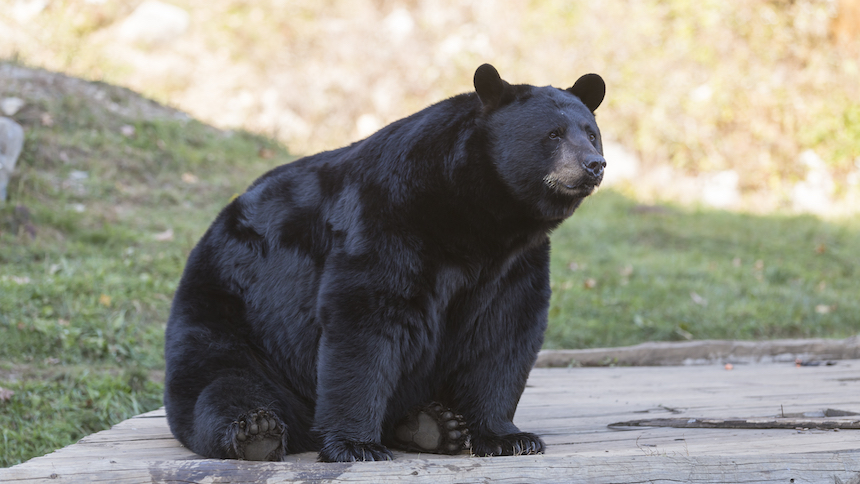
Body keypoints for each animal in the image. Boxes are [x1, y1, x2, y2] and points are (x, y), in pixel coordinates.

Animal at [163, 63, 604, 462]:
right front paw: (356, 445)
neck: (476, 216)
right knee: (221, 383)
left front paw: (508, 437)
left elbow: (504, 332)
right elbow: (366, 320)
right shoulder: (388, 217)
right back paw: (258, 431)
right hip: (234, 316)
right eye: (553, 134)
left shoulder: (514, 263)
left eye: (591, 132)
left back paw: (432, 425)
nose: (594, 164)